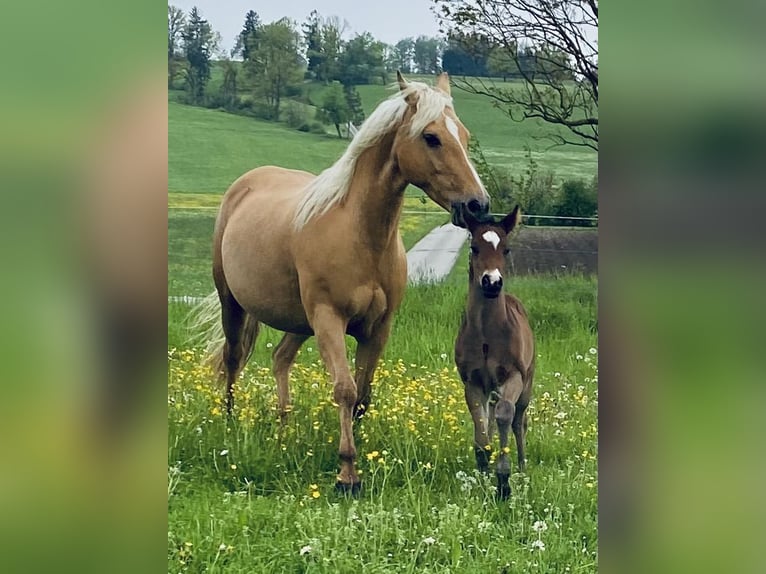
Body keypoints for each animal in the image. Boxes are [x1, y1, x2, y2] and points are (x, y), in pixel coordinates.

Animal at [197, 72, 490, 493]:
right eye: (431, 137)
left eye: (464, 136)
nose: (477, 205)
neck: (360, 234)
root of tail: (244, 186)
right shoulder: (329, 319)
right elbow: (345, 389)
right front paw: (347, 473)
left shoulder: (378, 328)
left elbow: (364, 393)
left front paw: (362, 453)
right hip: (235, 306)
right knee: (234, 359)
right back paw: (231, 424)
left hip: (299, 322)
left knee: (280, 359)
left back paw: (284, 431)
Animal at [454, 205, 535, 498]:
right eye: (474, 247)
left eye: (507, 249)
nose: (492, 282)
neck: (487, 336)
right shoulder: (473, 382)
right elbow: (480, 426)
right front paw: (483, 470)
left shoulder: (513, 376)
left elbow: (504, 415)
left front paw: (503, 481)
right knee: (490, 417)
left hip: (527, 383)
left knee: (518, 420)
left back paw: (521, 466)